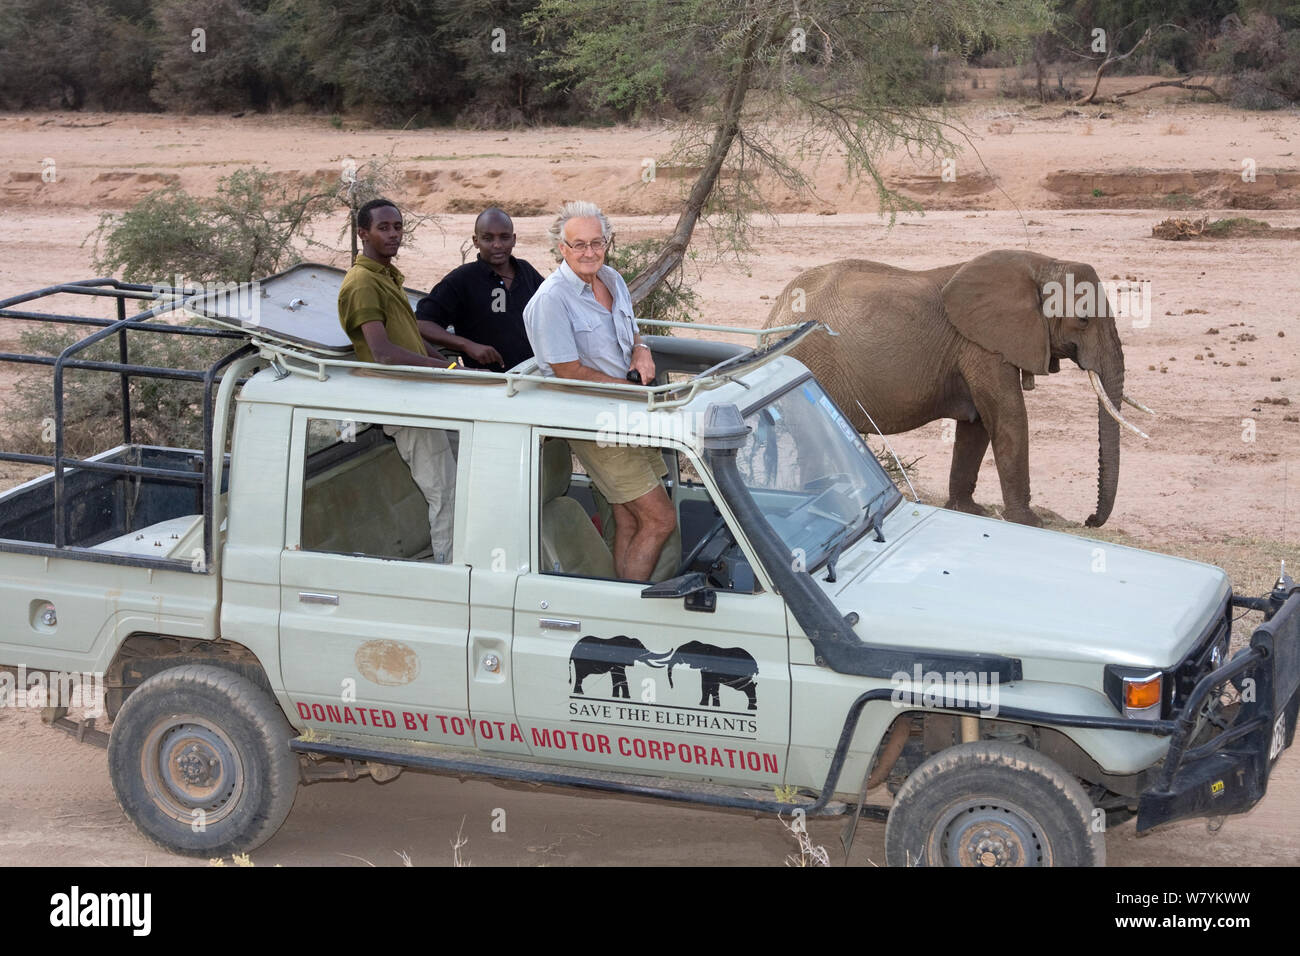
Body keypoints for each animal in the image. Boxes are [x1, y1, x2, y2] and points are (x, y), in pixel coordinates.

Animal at [759, 251, 1154, 528]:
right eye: (1083, 320)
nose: (1088, 520)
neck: (1043, 264)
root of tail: (772, 315)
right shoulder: (983, 346)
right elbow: (1008, 415)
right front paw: (1030, 521)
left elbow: (977, 423)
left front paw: (969, 511)